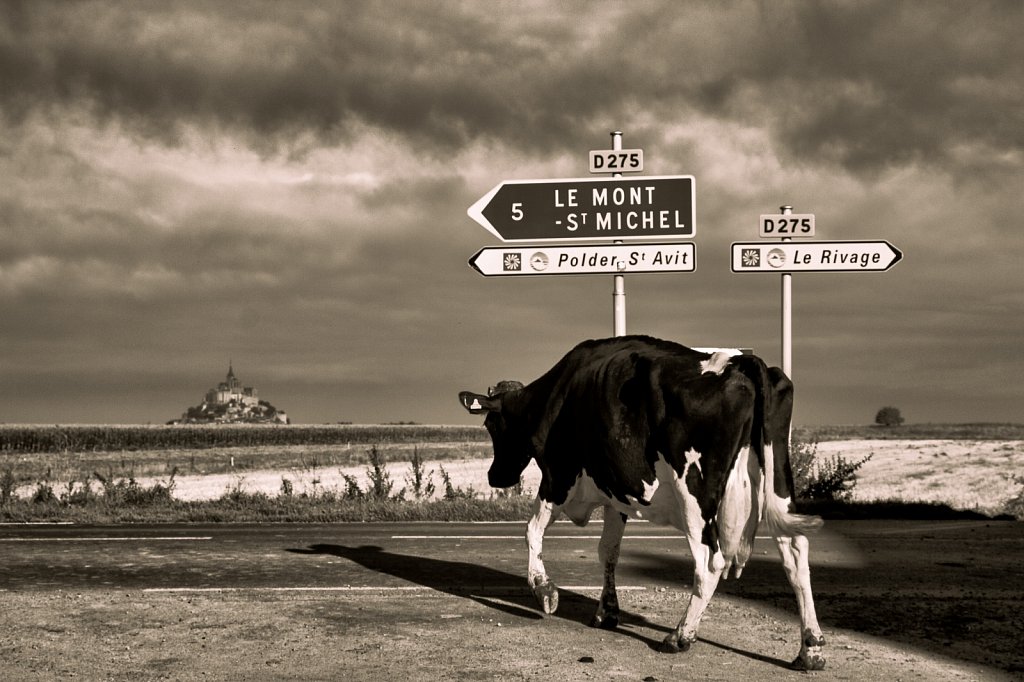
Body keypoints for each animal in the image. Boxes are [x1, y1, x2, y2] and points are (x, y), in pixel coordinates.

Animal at [460, 333, 827, 667]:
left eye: (491, 424)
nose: (494, 477)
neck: (554, 395)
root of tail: (742, 362)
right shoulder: (615, 494)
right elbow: (608, 551)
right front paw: (607, 612)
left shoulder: (558, 477)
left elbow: (532, 530)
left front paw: (544, 591)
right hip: (778, 484)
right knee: (795, 552)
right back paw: (810, 649)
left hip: (694, 495)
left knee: (710, 562)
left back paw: (680, 636)